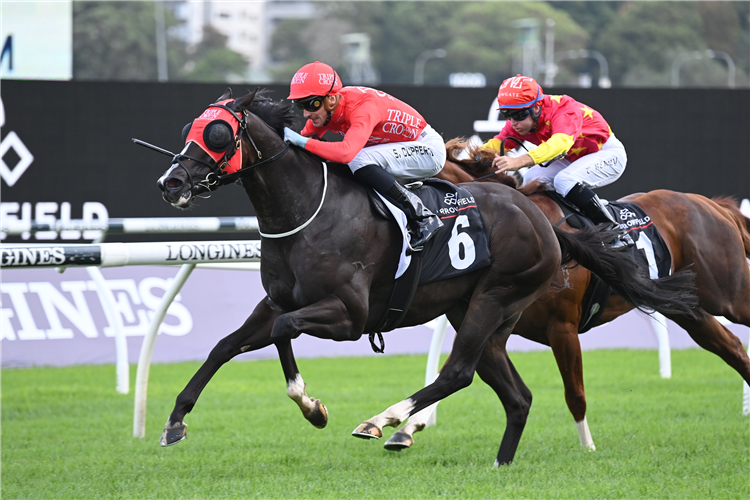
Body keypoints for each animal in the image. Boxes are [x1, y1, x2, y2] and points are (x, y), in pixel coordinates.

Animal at [150, 92, 704, 466]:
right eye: (190, 127)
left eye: (218, 134)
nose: (170, 183)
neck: (308, 210)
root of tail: (547, 223)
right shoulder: (275, 301)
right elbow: (226, 345)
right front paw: (175, 421)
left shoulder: (347, 316)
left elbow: (286, 332)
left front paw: (312, 407)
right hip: (482, 313)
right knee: (515, 394)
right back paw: (499, 463)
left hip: (495, 298)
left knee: (458, 371)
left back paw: (384, 420)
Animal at [388, 139, 750, 452]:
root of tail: (714, 205)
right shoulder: (492, 320)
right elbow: (452, 367)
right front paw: (405, 430)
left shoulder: (561, 326)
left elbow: (574, 393)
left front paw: (588, 447)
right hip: (685, 305)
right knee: (731, 346)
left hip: (728, 293)